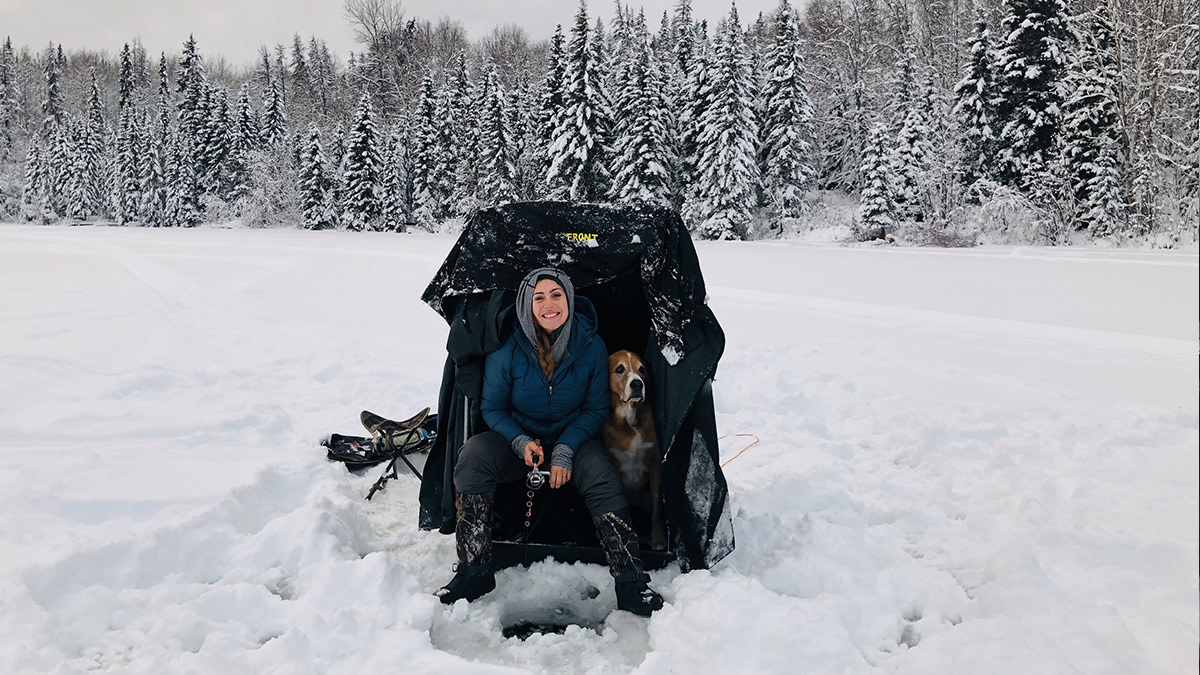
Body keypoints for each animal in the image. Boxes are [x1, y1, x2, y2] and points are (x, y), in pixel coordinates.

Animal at [600, 348, 667, 550]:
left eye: (642, 369)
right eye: (620, 369)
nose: (637, 383)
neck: (629, 422)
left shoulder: (655, 466)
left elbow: (657, 507)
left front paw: (659, 540)